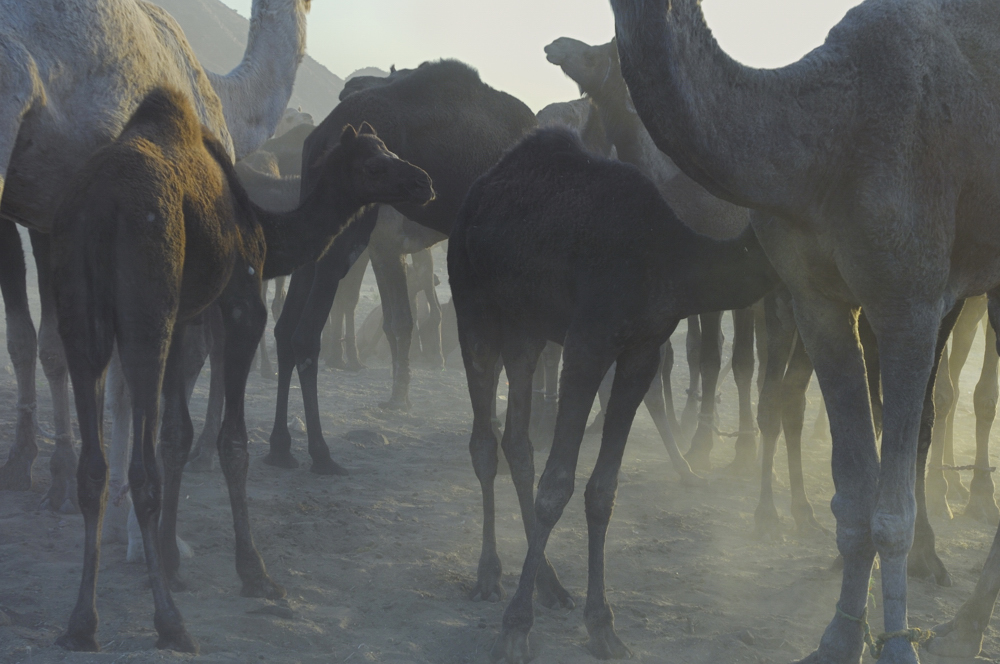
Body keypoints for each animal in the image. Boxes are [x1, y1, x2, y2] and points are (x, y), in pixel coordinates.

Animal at [50, 86, 433, 652]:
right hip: (146, 311)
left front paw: (172, 560)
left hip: (83, 316)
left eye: (388, 148)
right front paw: (254, 572)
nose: (423, 182)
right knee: (140, 468)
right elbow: (232, 443)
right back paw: (169, 623)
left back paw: (81, 622)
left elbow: (177, 435)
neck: (265, 226)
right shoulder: (240, 303)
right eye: (373, 163)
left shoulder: (188, 315)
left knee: (93, 466)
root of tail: (101, 207)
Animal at [265, 59, 537, 474]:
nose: (424, 181)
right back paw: (321, 454)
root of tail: (321, 134)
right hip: (348, 232)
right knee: (304, 334)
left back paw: (280, 447)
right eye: (376, 167)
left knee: (285, 329)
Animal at [453, 127, 778, 661]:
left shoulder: (641, 349)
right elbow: (556, 485)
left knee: (517, 441)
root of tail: (480, 188)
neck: (671, 256)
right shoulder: (589, 341)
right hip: (473, 306)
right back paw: (488, 575)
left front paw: (602, 626)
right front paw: (515, 629)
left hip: (527, 327)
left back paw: (550, 586)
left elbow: (602, 489)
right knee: (484, 439)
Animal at [545, 36, 759, 472]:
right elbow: (693, 355)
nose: (555, 44)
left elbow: (730, 359)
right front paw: (695, 439)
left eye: (592, 54)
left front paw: (723, 447)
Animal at [611, 0, 1000, 661]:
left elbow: (892, 507)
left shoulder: (909, 301)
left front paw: (897, 646)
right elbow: (854, 492)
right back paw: (967, 625)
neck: (823, 132)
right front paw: (840, 637)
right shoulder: (816, 301)